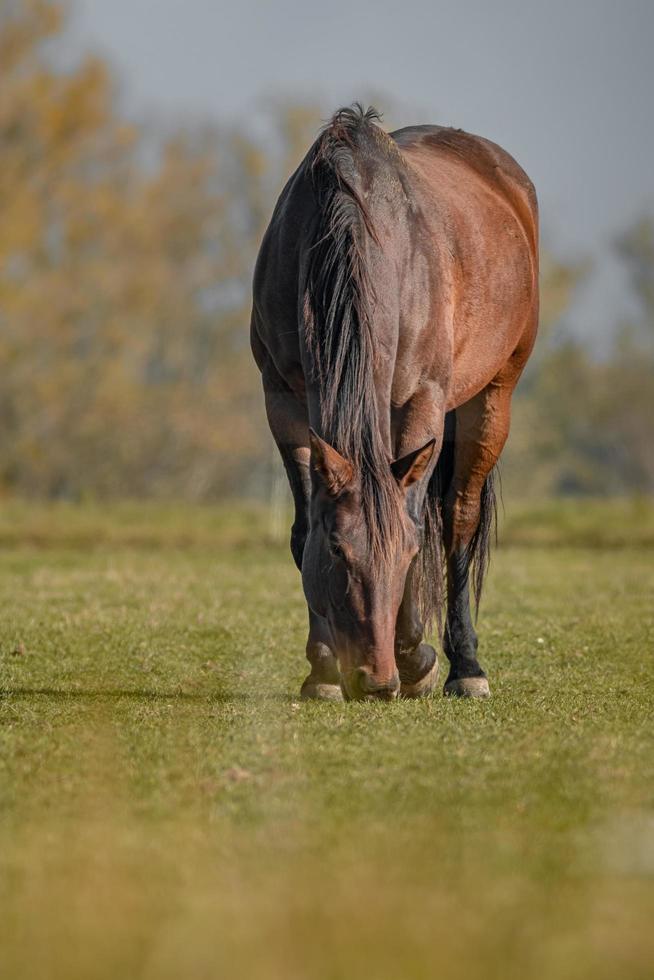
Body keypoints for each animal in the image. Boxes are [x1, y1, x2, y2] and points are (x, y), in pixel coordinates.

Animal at [251, 105, 540, 704]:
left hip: (492, 396)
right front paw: (322, 670)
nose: (376, 678)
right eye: (338, 550)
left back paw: (464, 667)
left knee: (457, 519)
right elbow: (302, 524)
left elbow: (413, 515)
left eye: (405, 557)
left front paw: (417, 658)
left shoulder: (420, 401)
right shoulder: (282, 400)